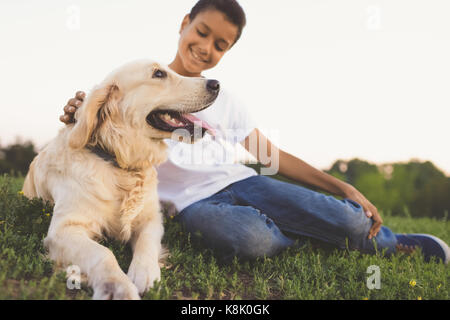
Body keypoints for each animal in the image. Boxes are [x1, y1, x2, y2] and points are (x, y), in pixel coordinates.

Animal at [22, 58, 220, 298]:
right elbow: (103, 253)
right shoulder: (64, 229)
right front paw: (118, 287)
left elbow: (147, 243)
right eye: (159, 74)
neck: (120, 163)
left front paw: (146, 274)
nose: (216, 84)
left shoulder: (152, 219)